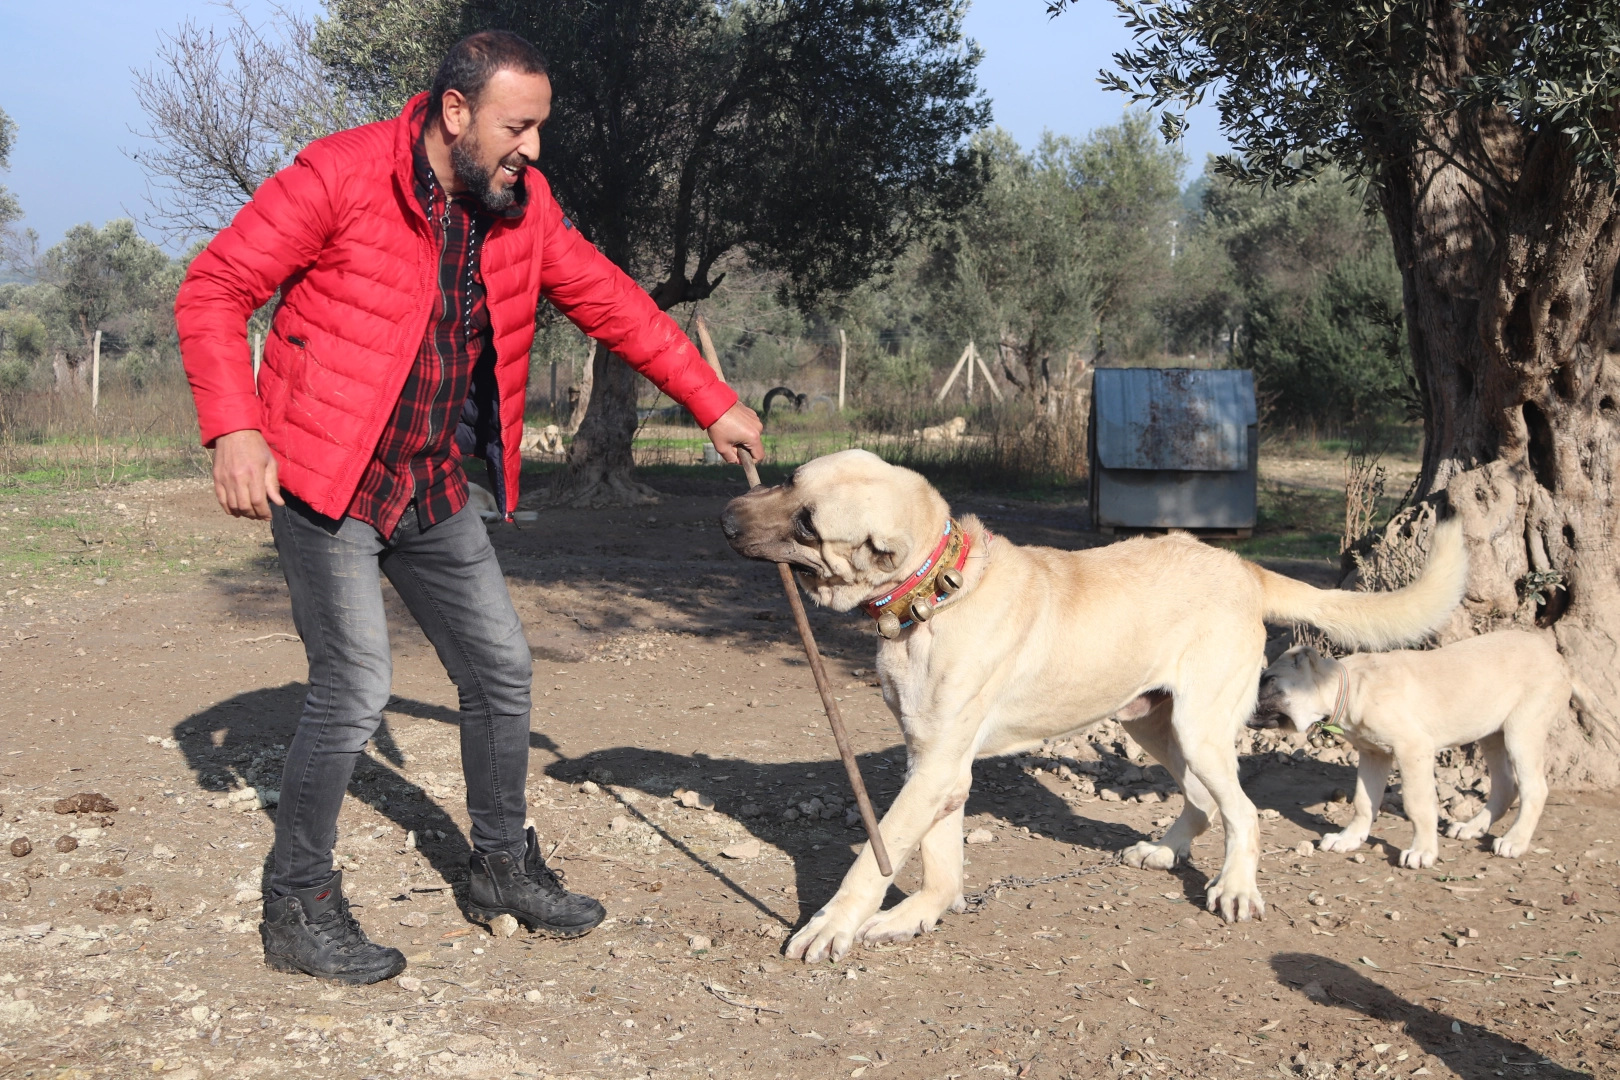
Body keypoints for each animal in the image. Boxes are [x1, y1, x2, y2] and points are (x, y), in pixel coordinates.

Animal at [722, 450, 1470, 965]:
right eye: (788, 480)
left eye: (808, 524)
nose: (726, 518)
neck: (937, 590)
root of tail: (1241, 568)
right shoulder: (932, 760)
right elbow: (936, 859)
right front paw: (920, 913)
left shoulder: (935, 768)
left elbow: (873, 862)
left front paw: (833, 924)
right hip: (1152, 723)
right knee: (1204, 802)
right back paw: (1166, 850)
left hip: (1199, 728)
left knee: (1243, 811)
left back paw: (1234, 887)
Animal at [1250, 634, 1568, 867]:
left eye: (1269, 680)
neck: (1351, 688)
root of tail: (1559, 659)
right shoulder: (1374, 755)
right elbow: (1363, 802)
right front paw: (1348, 838)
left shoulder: (1413, 749)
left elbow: (1418, 805)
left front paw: (1422, 851)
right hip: (1492, 734)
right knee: (1505, 786)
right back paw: (1471, 828)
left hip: (1521, 731)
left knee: (1534, 789)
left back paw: (1515, 841)